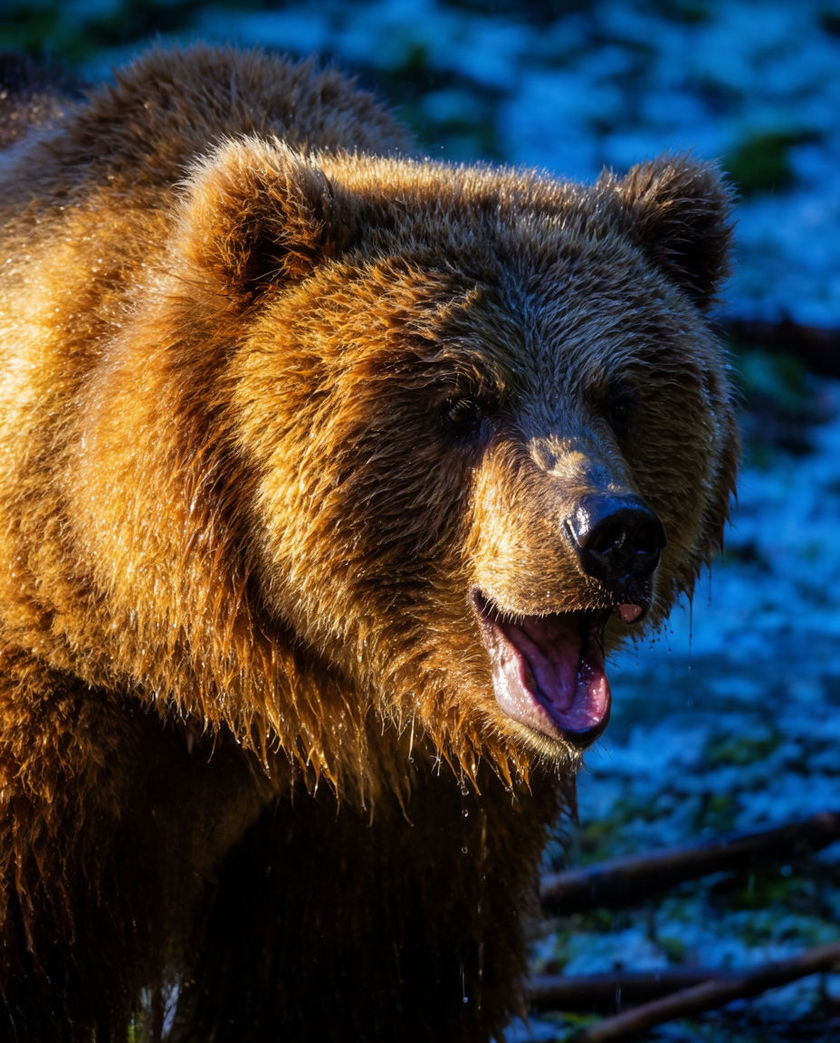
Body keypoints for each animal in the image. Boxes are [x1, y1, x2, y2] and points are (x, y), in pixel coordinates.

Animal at [0, 45, 738, 1042]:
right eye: (462, 402)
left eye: (619, 395)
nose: (612, 532)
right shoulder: (71, 727)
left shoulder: (401, 818)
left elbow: (351, 989)